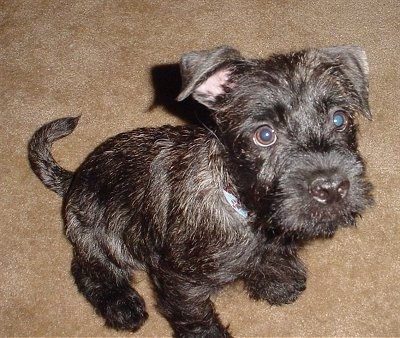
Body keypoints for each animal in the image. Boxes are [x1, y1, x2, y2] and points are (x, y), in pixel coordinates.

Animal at [28, 46, 376, 336]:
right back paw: (121, 305)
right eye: (265, 135)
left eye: (340, 119)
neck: (244, 208)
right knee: (88, 269)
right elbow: (198, 321)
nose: (332, 187)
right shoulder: (179, 282)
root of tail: (74, 178)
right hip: (106, 237)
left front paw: (277, 280)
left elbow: (266, 259)